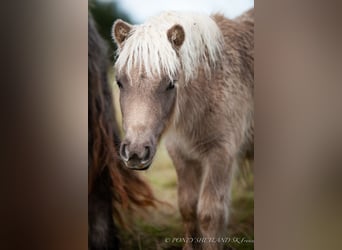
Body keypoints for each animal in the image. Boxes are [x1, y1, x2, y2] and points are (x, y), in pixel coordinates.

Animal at [113, 9, 254, 250]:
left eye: (171, 83)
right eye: (119, 82)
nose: (135, 153)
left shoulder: (221, 155)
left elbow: (210, 215)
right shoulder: (181, 154)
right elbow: (187, 208)